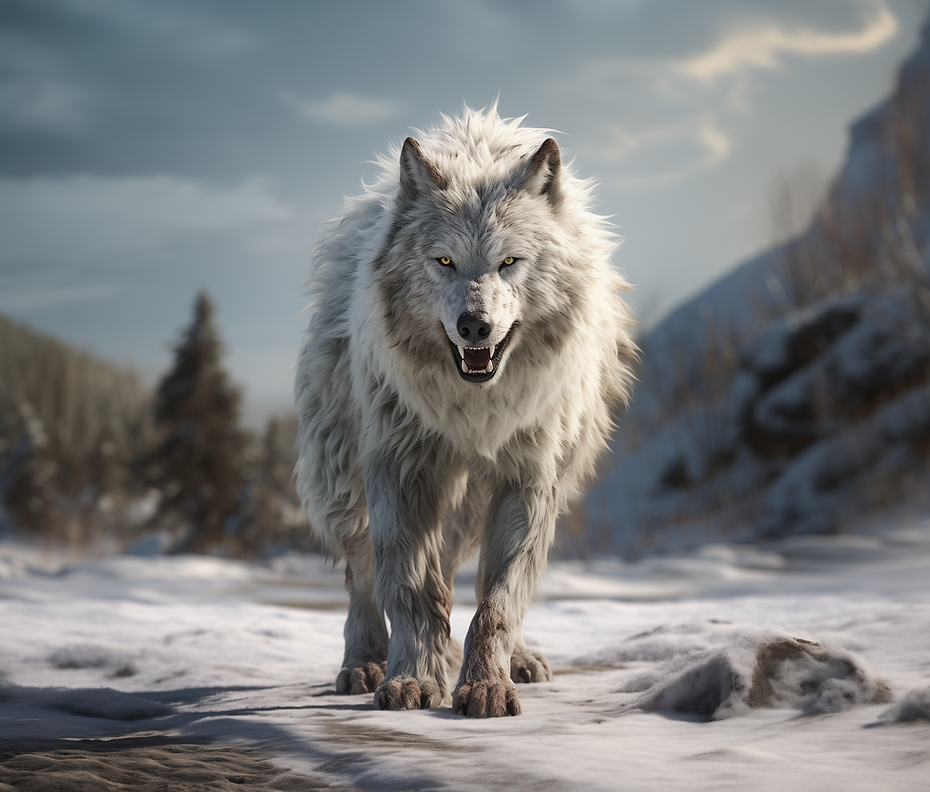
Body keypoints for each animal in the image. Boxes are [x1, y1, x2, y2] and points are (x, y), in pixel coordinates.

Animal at [295, 107, 636, 717]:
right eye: (445, 261)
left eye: (509, 262)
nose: (475, 326)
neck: (474, 409)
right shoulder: (400, 467)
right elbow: (406, 586)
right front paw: (411, 679)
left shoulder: (530, 477)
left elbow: (500, 598)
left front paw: (485, 685)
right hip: (344, 474)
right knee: (362, 572)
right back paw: (365, 662)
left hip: (497, 493)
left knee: (477, 579)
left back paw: (514, 660)